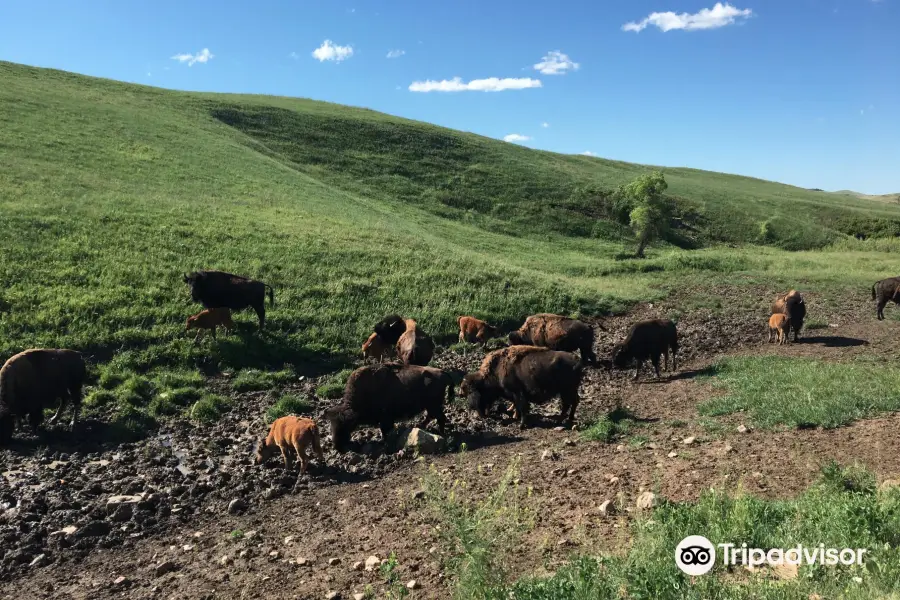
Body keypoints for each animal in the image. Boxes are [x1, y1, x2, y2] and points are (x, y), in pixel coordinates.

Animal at [322, 364, 454, 452]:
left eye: (345, 426)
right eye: (331, 425)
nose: (337, 446)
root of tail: (443, 372)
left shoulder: (385, 419)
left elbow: (385, 431)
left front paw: (384, 443)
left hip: (433, 406)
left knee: (439, 417)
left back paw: (440, 433)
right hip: (431, 406)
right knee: (432, 417)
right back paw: (422, 426)